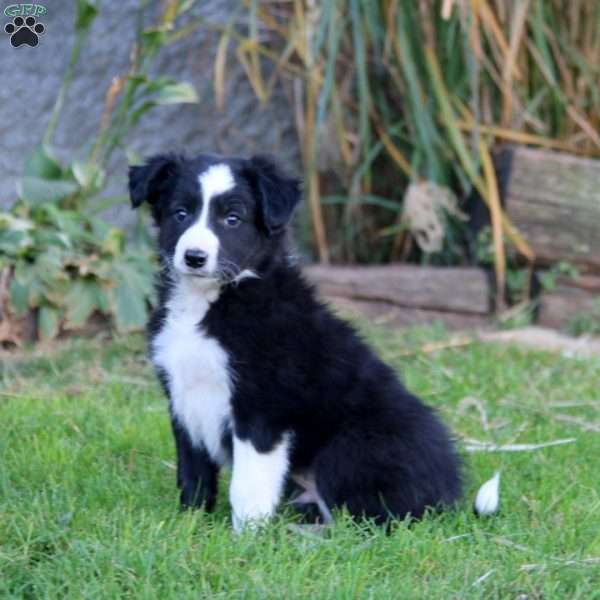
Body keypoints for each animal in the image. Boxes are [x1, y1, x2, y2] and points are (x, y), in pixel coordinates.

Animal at [129, 154, 462, 528]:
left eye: (233, 219)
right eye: (181, 213)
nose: (194, 257)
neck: (208, 302)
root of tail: (450, 495)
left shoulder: (262, 408)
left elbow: (248, 486)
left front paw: (246, 536)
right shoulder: (182, 397)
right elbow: (193, 471)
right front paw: (189, 524)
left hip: (352, 445)